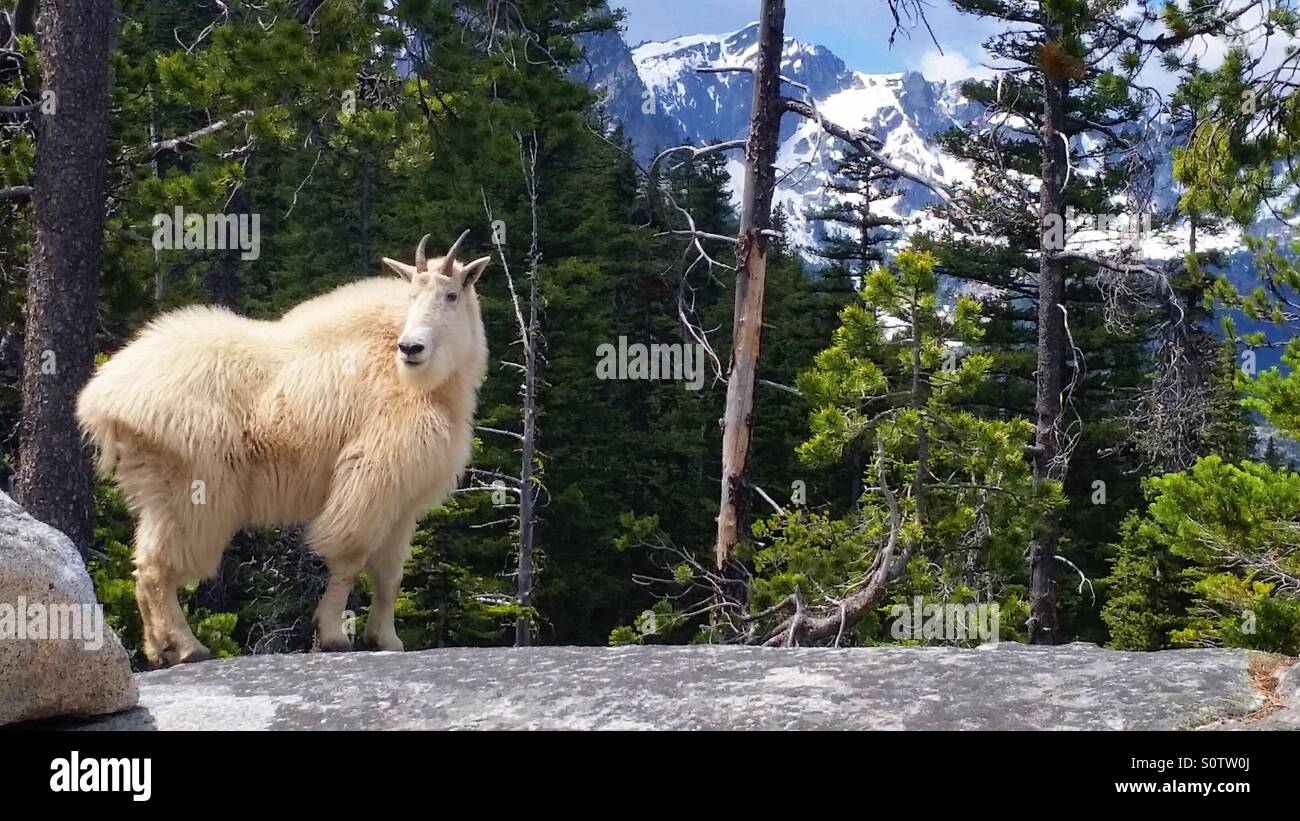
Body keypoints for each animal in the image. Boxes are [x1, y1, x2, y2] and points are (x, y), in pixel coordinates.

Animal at [77, 231, 491, 665]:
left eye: (451, 295)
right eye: (411, 295)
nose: (411, 348)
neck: (426, 384)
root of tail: (102, 397)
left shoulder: (402, 500)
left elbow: (390, 573)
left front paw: (386, 639)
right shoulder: (369, 477)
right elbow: (350, 559)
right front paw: (334, 635)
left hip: (157, 490)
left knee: (143, 565)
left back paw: (159, 649)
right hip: (194, 491)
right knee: (159, 566)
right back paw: (189, 647)